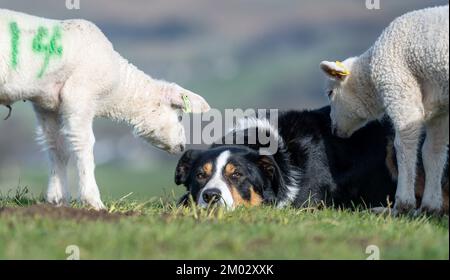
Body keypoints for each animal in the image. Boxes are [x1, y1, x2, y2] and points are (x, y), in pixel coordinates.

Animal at [0, 9, 211, 209]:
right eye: (180, 117)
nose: (182, 146)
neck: (115, 92)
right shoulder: (79, 94)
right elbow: (83, 144)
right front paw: (92, 200)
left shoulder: (47, 104)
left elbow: (56, 146)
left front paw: (57, 199)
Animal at [318, 5, 448, 215]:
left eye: (330, 93)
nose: (334, 130)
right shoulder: (440, 107)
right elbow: (433, 151)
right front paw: (430, 207)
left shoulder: (397, 83)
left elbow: (404, 144)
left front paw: (402, 205)